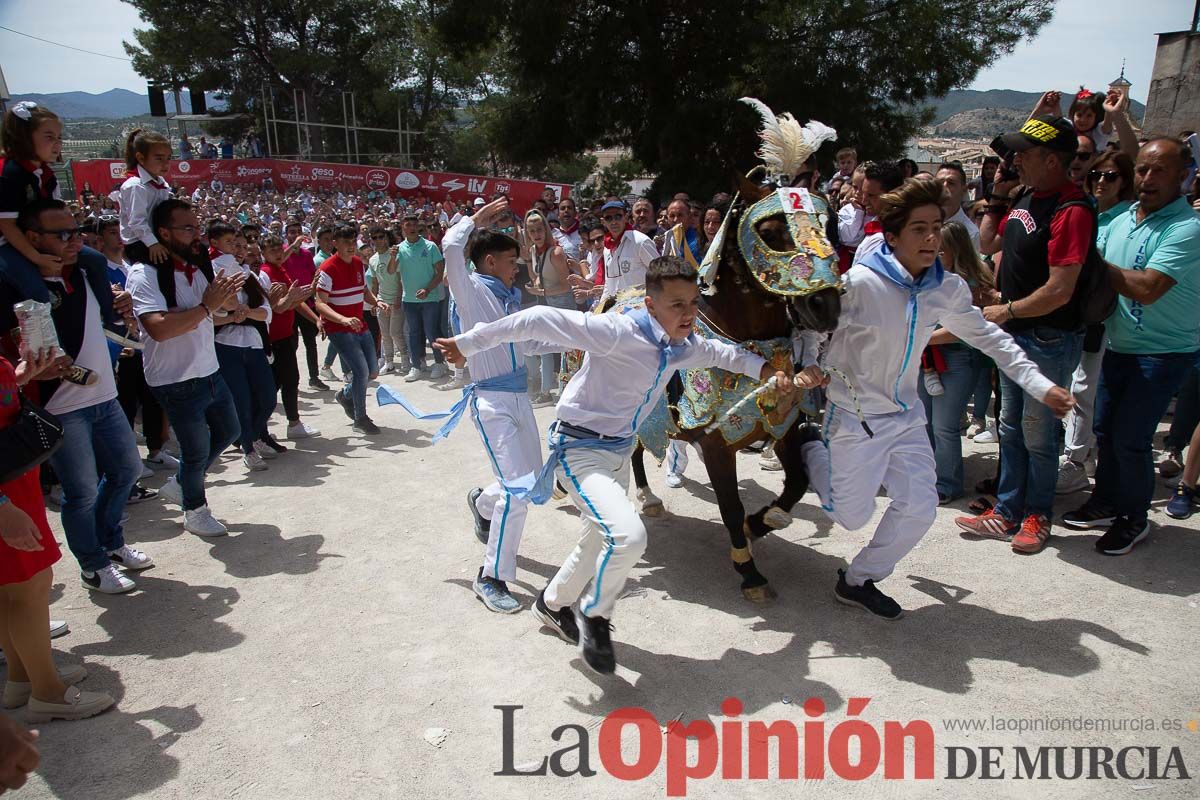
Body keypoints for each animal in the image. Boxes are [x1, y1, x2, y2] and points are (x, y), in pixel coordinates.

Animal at [571, 100, 844, 599]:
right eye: (771, 230)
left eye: (829, 224)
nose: (825, 305)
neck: (747, 341)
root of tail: (612, 295)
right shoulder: (718, 444)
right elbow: (731, 506)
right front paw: (749, 569)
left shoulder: (782, 427)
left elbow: (797, 484)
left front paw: (763, 522)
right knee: (633, 452)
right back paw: (643, 497)